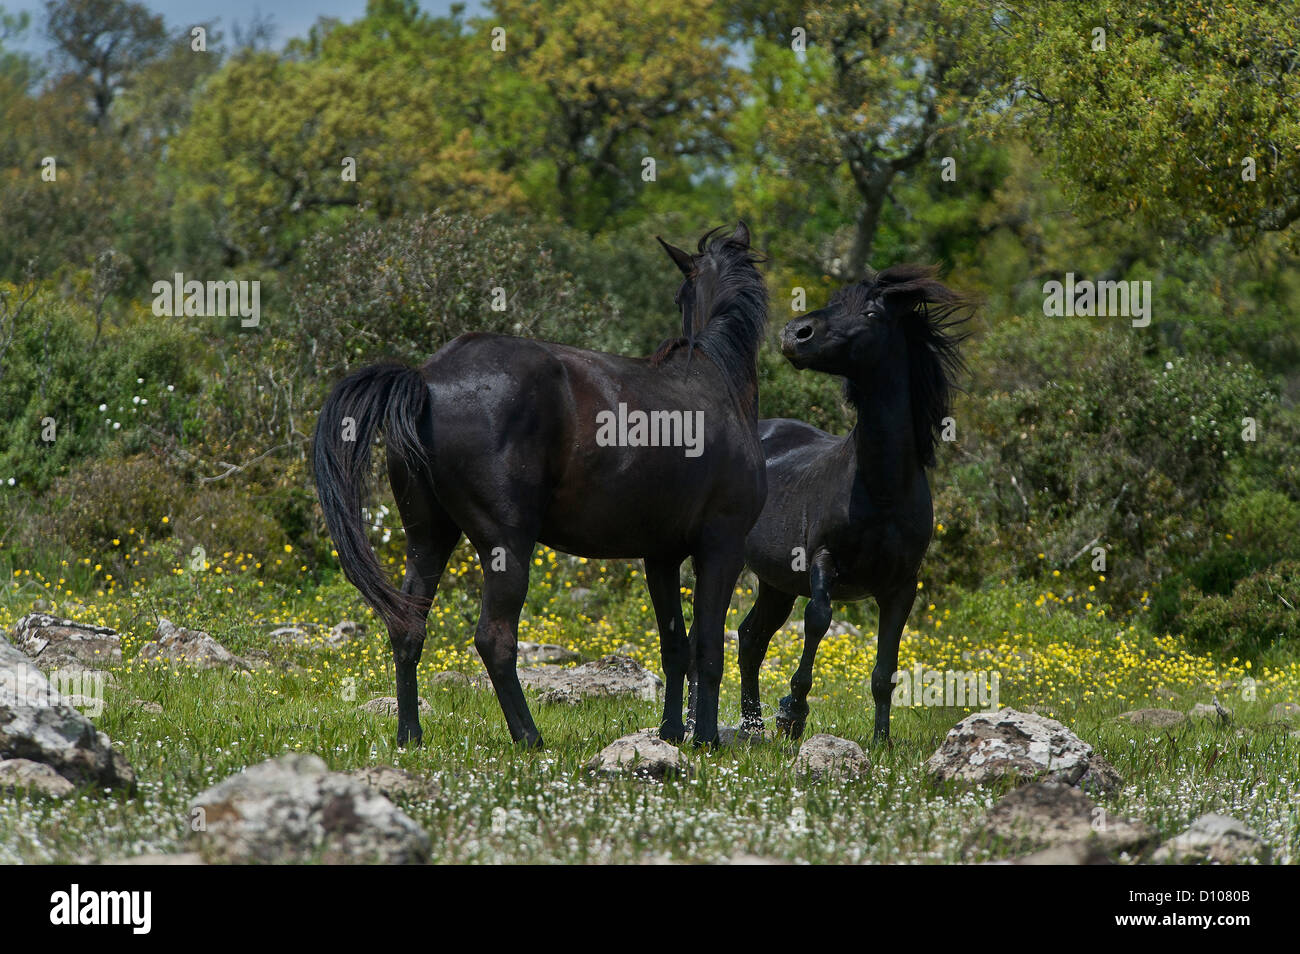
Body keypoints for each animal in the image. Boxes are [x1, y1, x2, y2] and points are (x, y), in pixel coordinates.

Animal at [310, 222, 764, 748]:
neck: (718, 382)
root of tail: (425, 379)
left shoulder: (661, 556)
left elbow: (675, 645)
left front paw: (671, 733)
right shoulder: (722, 547)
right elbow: (708, 648)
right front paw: (706, 740)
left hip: (427, 536)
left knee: (408, 626)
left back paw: (410, 735)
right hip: (506, 545)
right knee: (494, 638)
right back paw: (529, 736)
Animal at [738, 267, 972, 748]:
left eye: (870, 313)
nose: (794, 333)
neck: (883, 491)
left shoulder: (901, 588)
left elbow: (885, 671)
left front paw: (882, 741)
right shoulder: (823, 561)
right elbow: (818, 620)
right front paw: (793, 713)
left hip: (775, 584)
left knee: (751, 639)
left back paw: (753, 727)